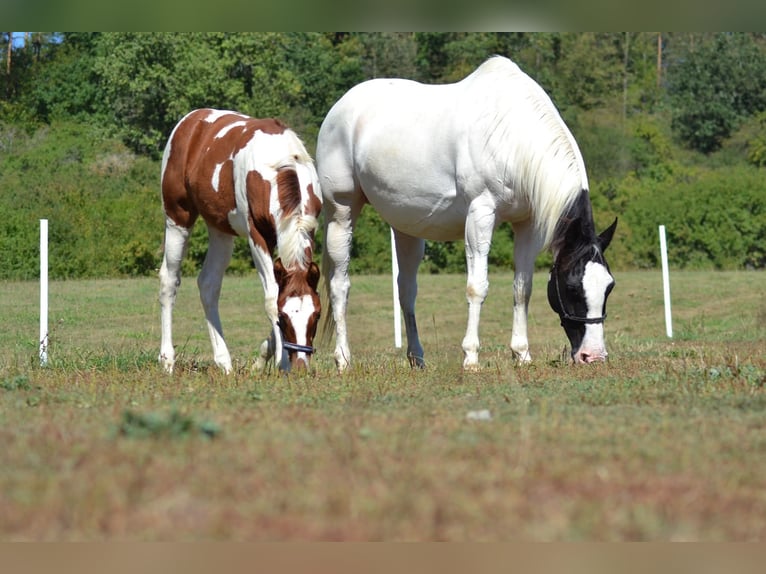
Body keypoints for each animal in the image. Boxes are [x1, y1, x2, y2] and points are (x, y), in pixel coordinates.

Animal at [158, 108, 322, 373]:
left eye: (316, 315)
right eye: (283, 317)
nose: (300, 366)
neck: (279, 166)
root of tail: (191, 120)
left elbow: (278, 288)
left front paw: (262, 358)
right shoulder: (258, 236)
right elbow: (271, 297)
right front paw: (281, 362)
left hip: (220, 230)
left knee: (208, 285)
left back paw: (224, 362)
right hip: (177, 218)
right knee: (169, 281)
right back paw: (167, 360)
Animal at [317, 56, 616, 371]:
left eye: (609, 286)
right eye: (572, 287)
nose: (593, 356)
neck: (510, 134)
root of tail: (341, 107)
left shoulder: (527, 224)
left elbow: (522, 288)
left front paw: (522, 354)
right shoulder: (480, 214)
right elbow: (477, 287)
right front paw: (471, 357)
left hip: (406, 228)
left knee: (407, 290)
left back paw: (417, 358)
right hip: (341, 212)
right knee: (340, 285)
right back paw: (343, 359)